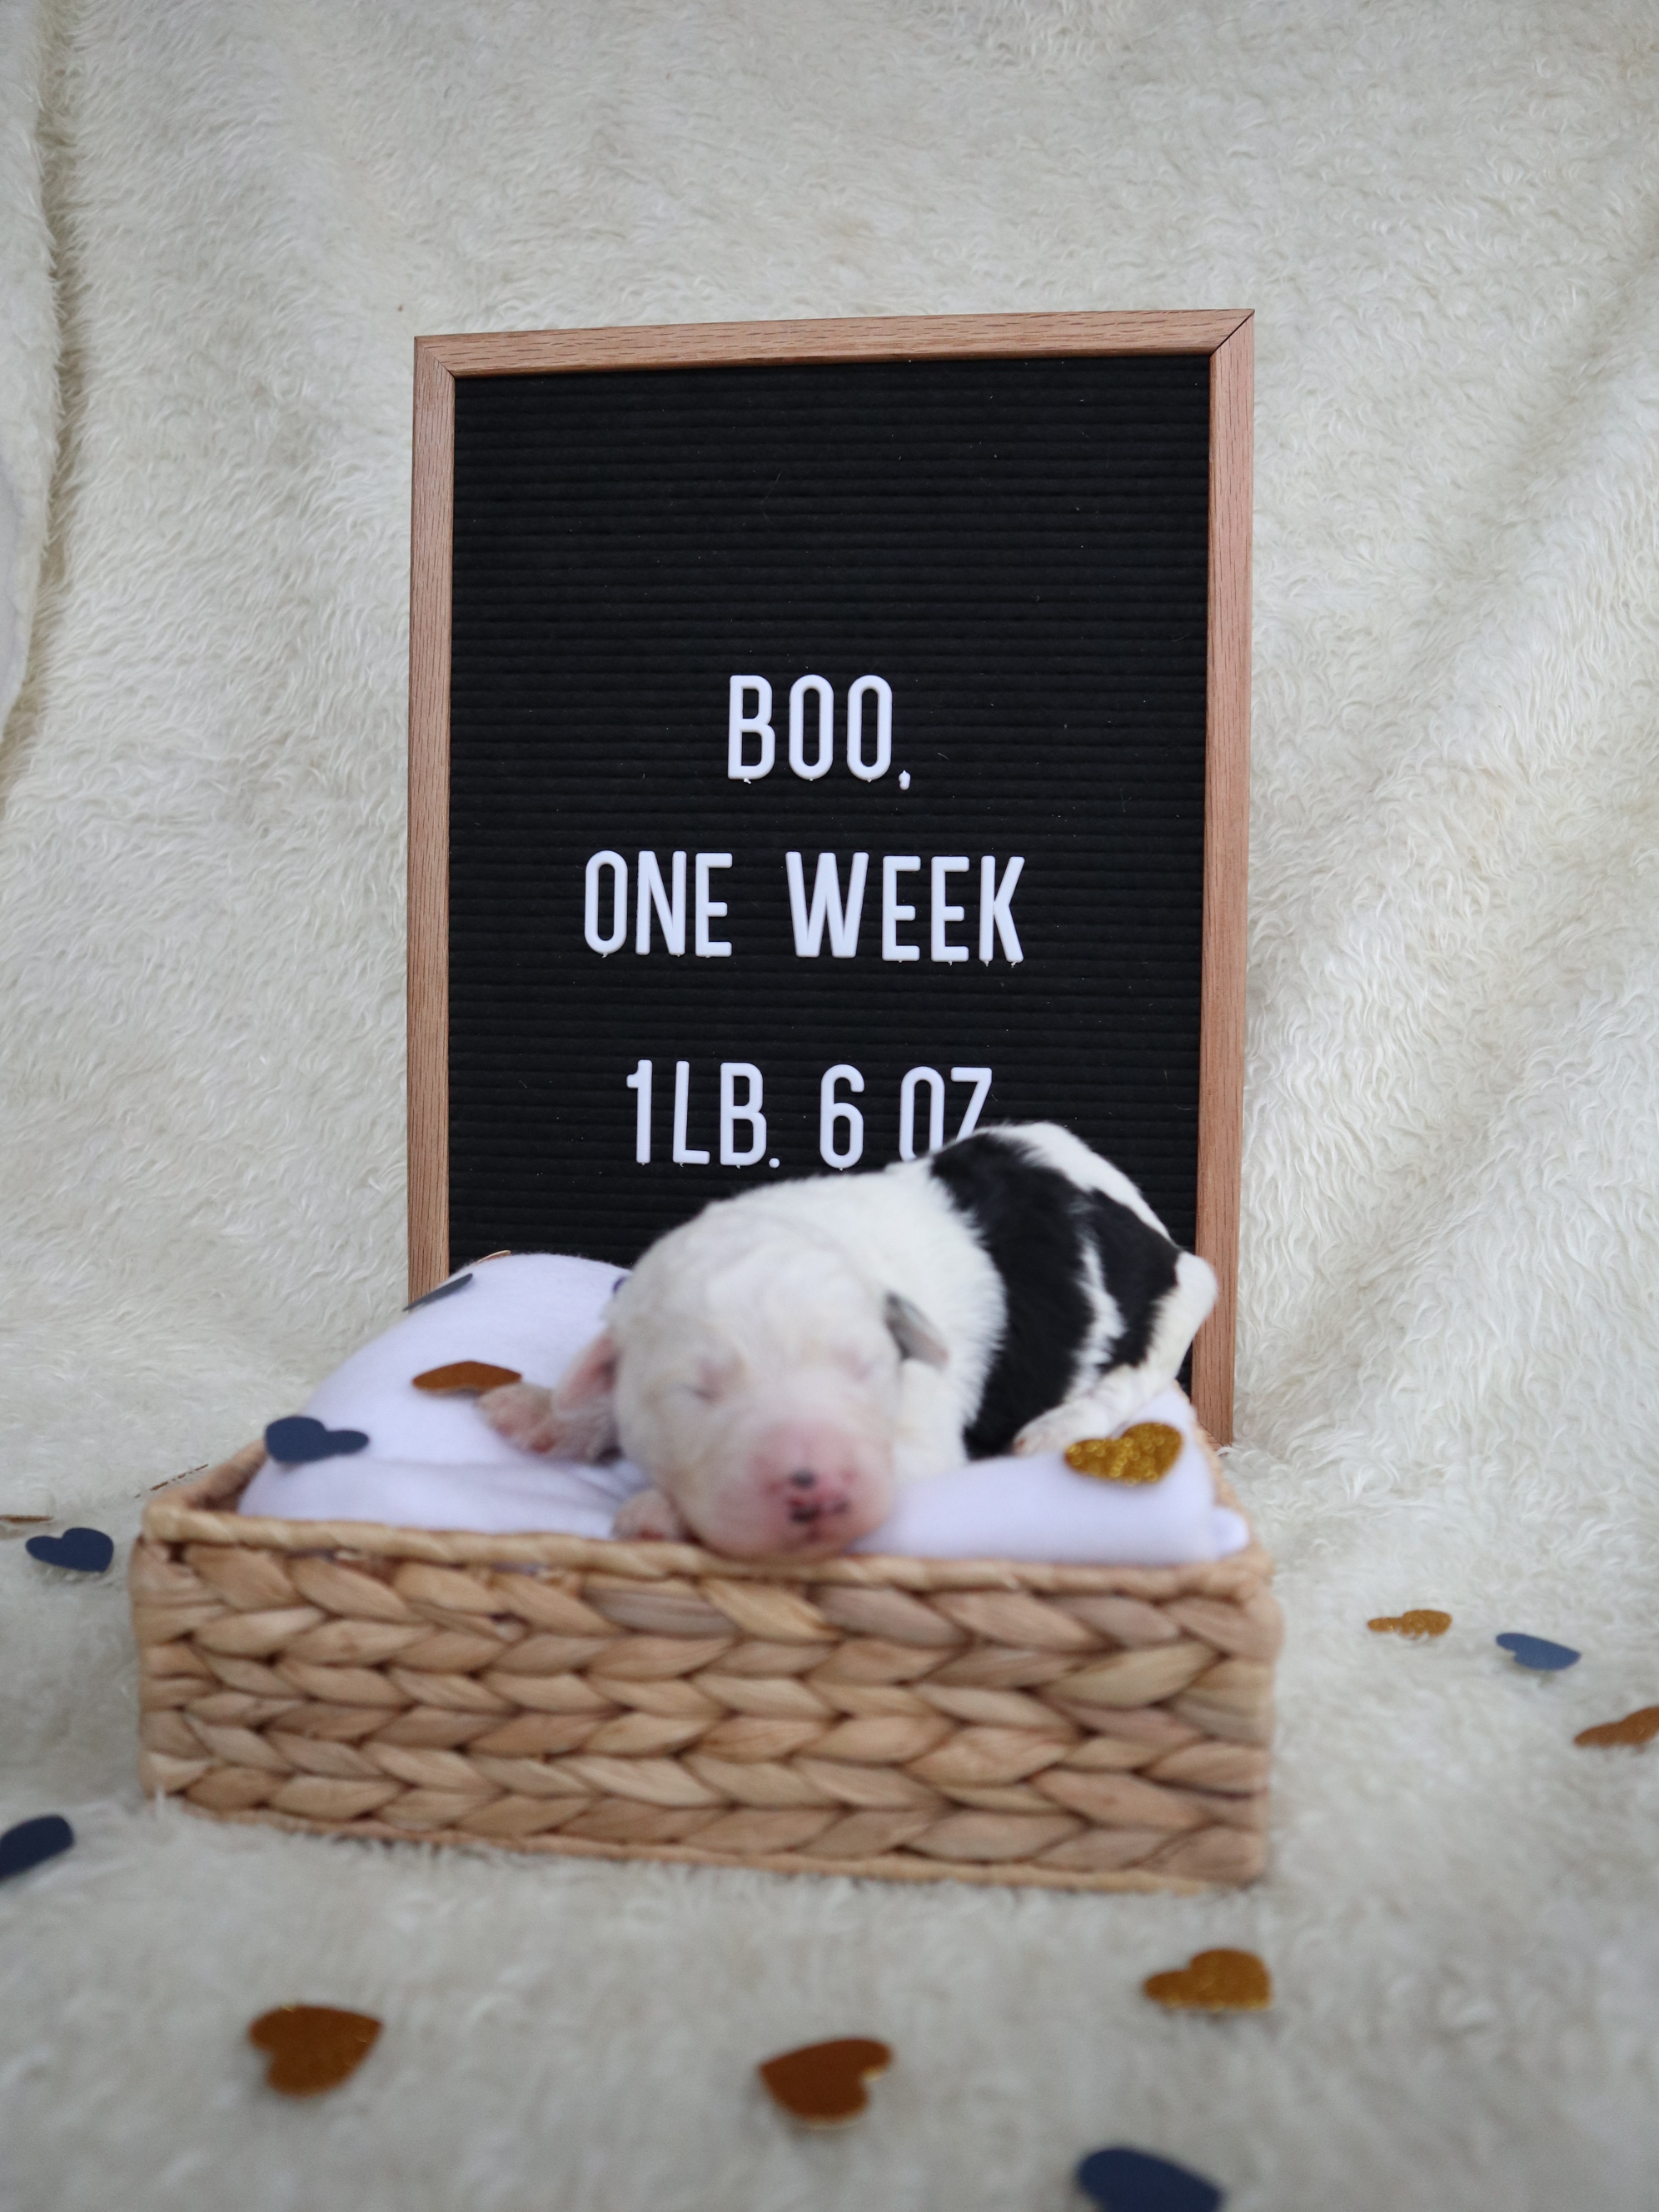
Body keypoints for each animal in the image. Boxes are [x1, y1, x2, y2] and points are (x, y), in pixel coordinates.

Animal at [478, 1122, 1216, 1558]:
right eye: (696, 1394)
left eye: (867, 1370)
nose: (813, 1487)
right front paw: (543, 1410)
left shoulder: (924, 1441)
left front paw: (658, 1511)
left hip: (1173, 1308)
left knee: (1134, 1370)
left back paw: (1054, 1429)